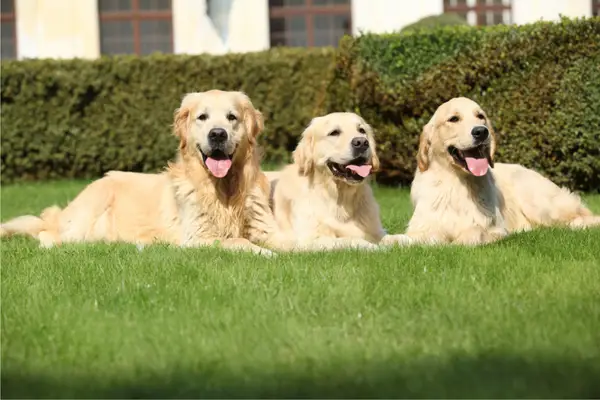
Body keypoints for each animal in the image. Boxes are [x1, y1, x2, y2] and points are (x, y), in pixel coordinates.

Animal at [0, 90, 282, 256]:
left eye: (232, 117)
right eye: (202, 117)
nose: (217, 134)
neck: (224, 189)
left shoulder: (266, 228)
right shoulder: (197, 236)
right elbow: (237, 242)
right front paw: (264, 253)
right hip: (86, 213)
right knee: (48, 234)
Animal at [404, 97, 600, 244]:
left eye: (480, 116)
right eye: (453, 119)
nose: (481, 132)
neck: (456, 182)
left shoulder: (494, 227)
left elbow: (474, 231)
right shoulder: (422, 226)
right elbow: (424, 236)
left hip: (538, 203)